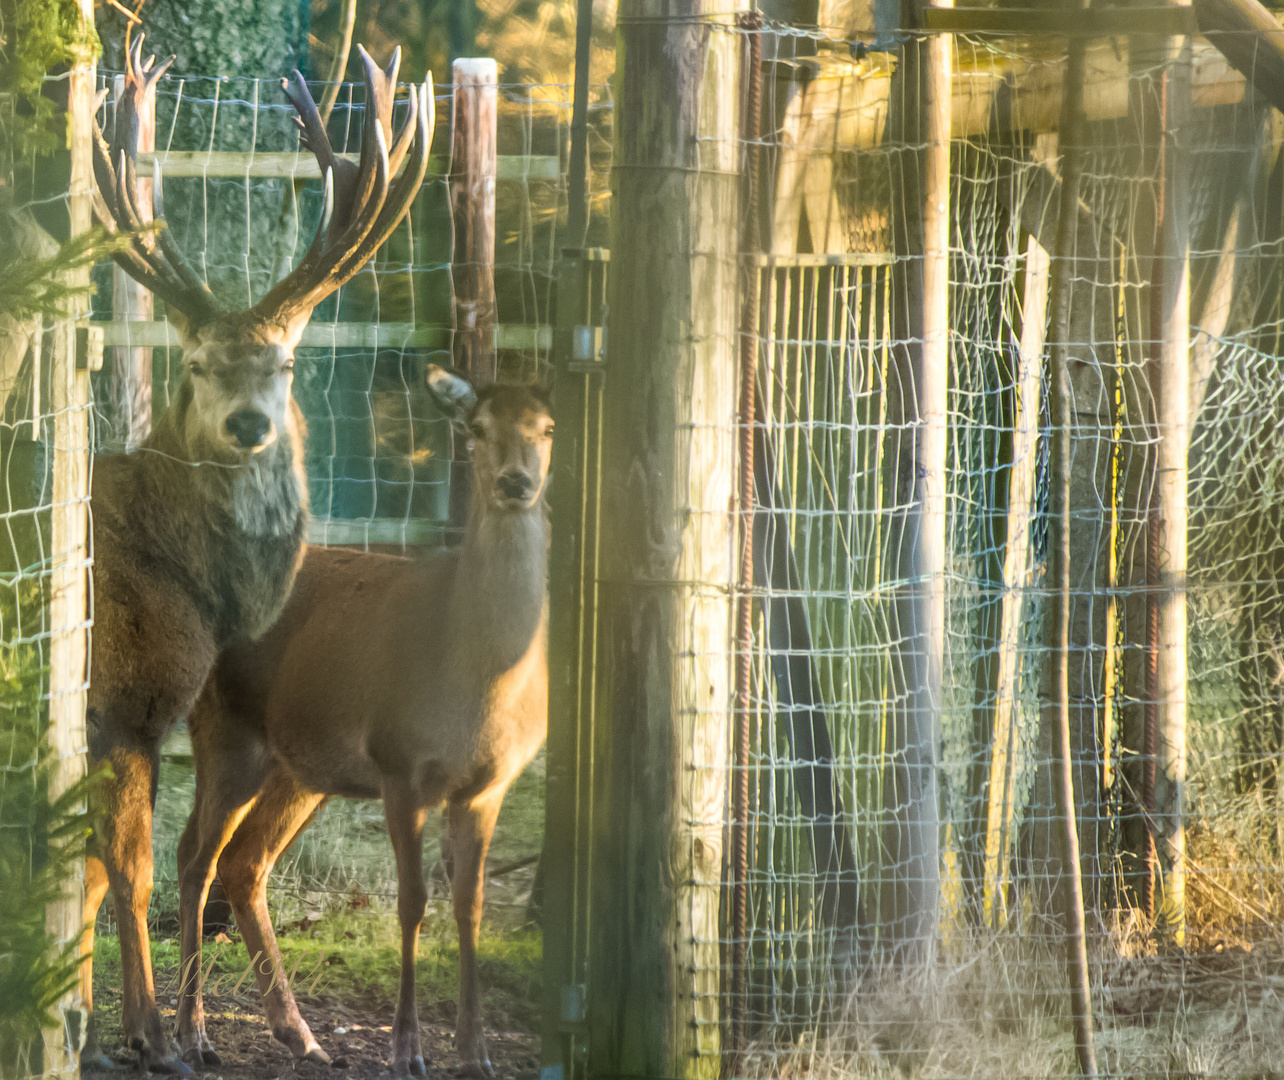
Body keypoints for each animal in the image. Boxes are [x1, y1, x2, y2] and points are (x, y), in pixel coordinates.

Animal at [86, 39, 436, 1068]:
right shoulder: (124, 699)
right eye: (197, 363)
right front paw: (150, 1035)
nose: (248, 423)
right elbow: (125, 866)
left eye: (283, 363)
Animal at [172, 367, 552, 1073]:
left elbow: (472, 907)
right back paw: (193, 1035)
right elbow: (413, 902)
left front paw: (476, 1053)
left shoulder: (489, 784)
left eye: (546, 427)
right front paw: (406, 1050)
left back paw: (301, 1035)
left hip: (301, 767)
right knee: (194, 858)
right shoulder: (400, 762)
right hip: (224, 726)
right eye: (476, 427)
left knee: (244, 860)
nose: (517, 481)